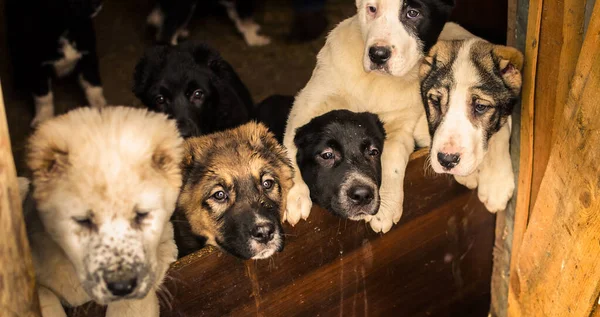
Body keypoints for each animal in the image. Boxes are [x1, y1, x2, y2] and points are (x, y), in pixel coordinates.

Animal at [420, 39, 524, 212]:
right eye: (435, 101)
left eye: (480, 106)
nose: (447, 160)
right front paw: (469, 176)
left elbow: (500, 135)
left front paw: (496, 184)